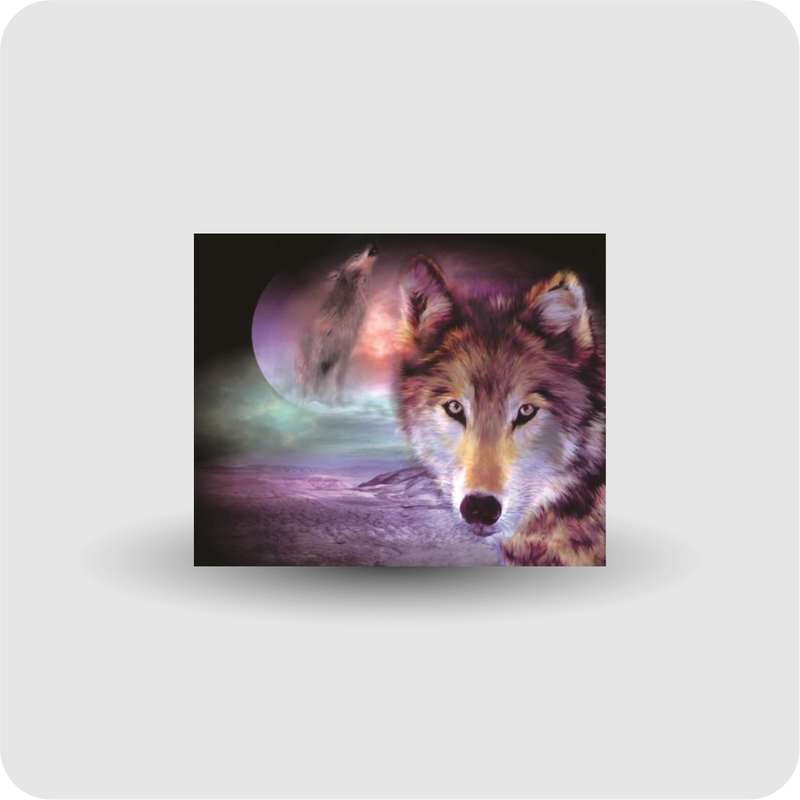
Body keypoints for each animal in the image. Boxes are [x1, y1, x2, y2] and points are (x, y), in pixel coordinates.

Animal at [295, 242, 378, 405]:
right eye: (355, 256)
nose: (373, 243)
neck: (343, 319)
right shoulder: (318, 352)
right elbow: (312, 383)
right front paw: (310, 402)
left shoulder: (344, 355)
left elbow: (338, 384)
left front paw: (335, 405)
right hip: (304, 370)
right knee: (302, 384)